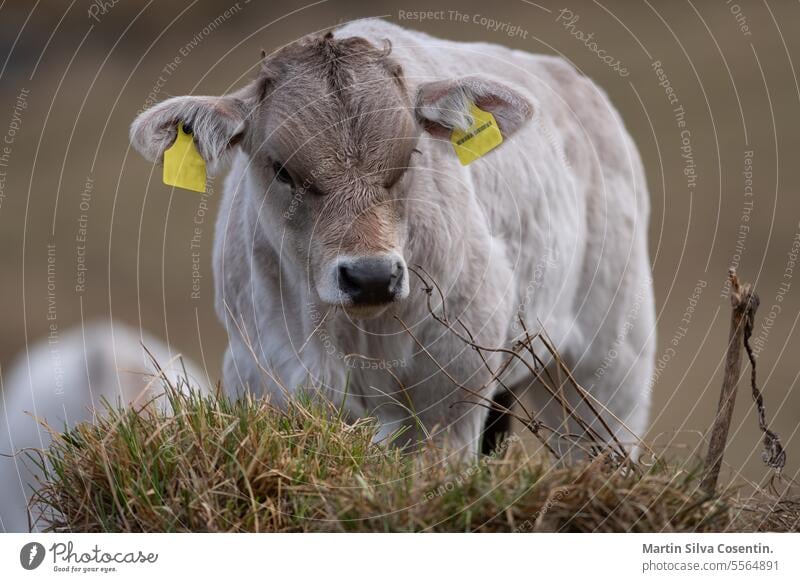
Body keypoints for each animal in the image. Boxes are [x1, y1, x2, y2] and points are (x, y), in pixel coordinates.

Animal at [133, 18, 656, 456]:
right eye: (282, 169)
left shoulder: (450, 402)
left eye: (409, 158)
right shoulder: (261, 377)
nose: (370, 276)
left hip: (609, 372)